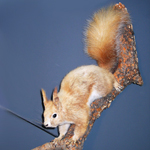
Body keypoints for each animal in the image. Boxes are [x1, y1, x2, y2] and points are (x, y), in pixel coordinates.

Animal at [41, 4, 131, 142]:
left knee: (110, 78)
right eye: (43, 114)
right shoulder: (65, 123)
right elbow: (63, 130)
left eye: (54, 115)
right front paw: (59, 138)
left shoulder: (79, 113)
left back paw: (115, 83)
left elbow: (82, 126)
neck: (64, 107)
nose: (45, 124)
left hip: (102, 87)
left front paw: (74, 138)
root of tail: (102, 70)